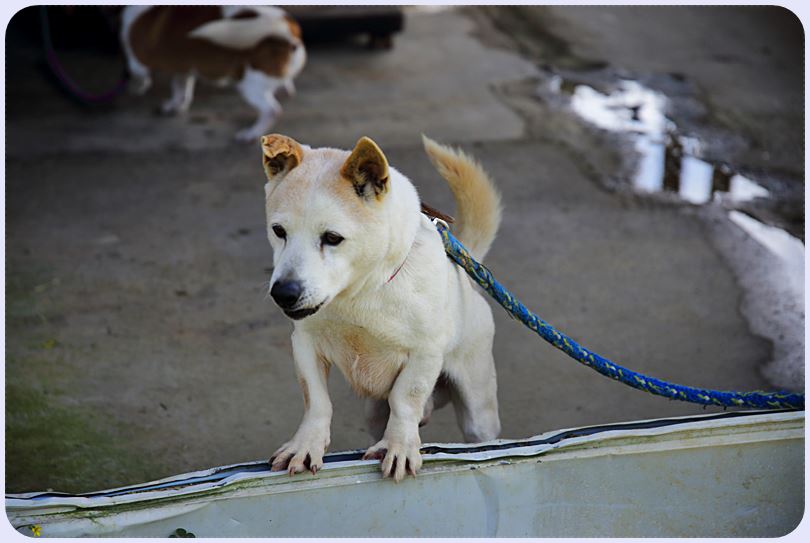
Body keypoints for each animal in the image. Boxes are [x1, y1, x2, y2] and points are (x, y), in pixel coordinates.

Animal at [120, 6, 306, 141]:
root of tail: (287, 27)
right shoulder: (183, 69)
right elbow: (180, 89)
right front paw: (175, 105)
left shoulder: (137, 59)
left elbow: (138, 73)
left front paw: (136, 87)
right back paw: (286, 90)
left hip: (251, 85)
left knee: (272, 111)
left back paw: (250, 134)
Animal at [260, 134, 498, 482]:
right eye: (279, 231)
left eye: (333, 238)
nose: (283, 294)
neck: (357, 296)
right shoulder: (304, 343)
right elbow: (316, 401)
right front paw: (306, 445)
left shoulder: (425, 353)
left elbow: (406, 399)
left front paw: (399, 446)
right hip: (374, 412)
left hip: (478, 411)